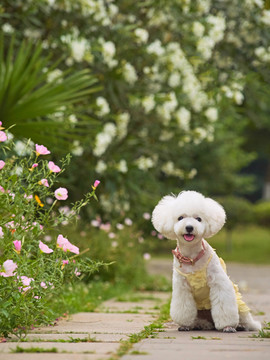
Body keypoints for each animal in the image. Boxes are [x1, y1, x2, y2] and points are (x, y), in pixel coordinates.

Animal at [153, 190, 260, 334]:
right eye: (180, 218)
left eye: (198, 219)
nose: (189, 227)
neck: (192, 257)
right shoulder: (182, 288)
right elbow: (183, 308)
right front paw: (185, 325)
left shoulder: (219, 284)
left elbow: (224, 307)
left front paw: (227, 326)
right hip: (200, 314)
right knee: (203, 321)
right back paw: (200, 325)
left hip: (239, 305)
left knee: (246, 319)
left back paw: (241, 325)